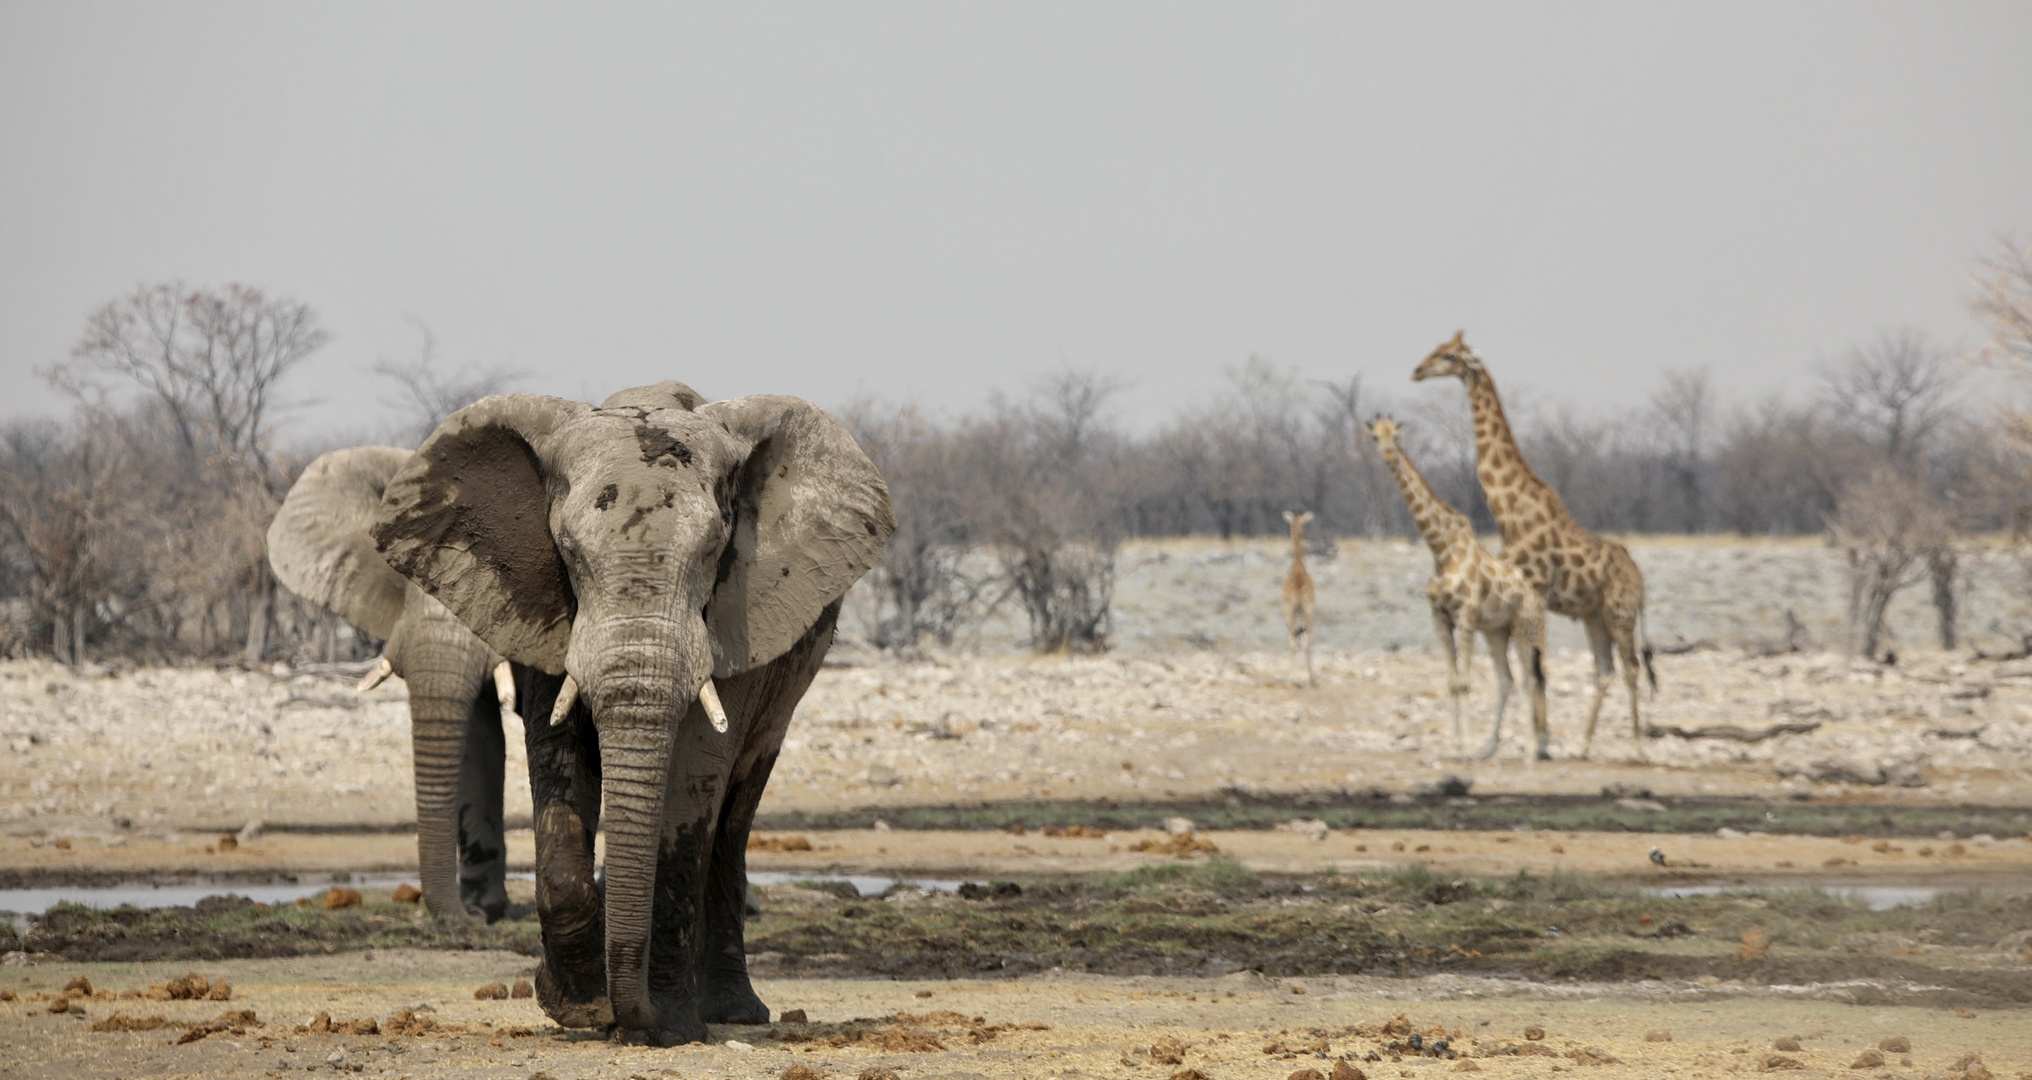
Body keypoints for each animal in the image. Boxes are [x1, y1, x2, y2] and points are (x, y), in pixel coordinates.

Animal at [369, 382, 894, 1049]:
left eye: (714, 549)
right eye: (568, 550)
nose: (628, 1015)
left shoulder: (735, 621)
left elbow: (692, 783)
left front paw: (666, 1026)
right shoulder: (548, 613)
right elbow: (556, 753)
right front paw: (580, 1008)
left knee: (732, 816)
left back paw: (730, 1012)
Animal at [1373, 414, 1544, 760]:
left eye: (1394, 435)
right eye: (1374, 436)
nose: (1387, 453)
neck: (1441, 550)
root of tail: (1536, 594)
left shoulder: (1464, 618)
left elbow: (1465, 681)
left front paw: (1464, 746)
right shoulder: (1440, 619)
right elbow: (1453, 682)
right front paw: (1456, 745)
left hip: (1523, 626)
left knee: (1529, 679)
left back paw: (1530, 749)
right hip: (1496, 630)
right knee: (1505, 679)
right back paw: (1489, 748)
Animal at [1414, 329, 1649, 760]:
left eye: (1450, 356)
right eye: (1437, 349)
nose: (1418, 370)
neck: (1509, 512)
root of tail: (1640, 579)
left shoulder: (1534, 592)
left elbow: (1536, 669)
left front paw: (1538, 742)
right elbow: (1527, 671)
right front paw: (1529, 741)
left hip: (1620, 614)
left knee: (1631, 667)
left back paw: (1638, 748)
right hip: (1594, 617)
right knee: (1604, 670)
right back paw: (1584, 746)